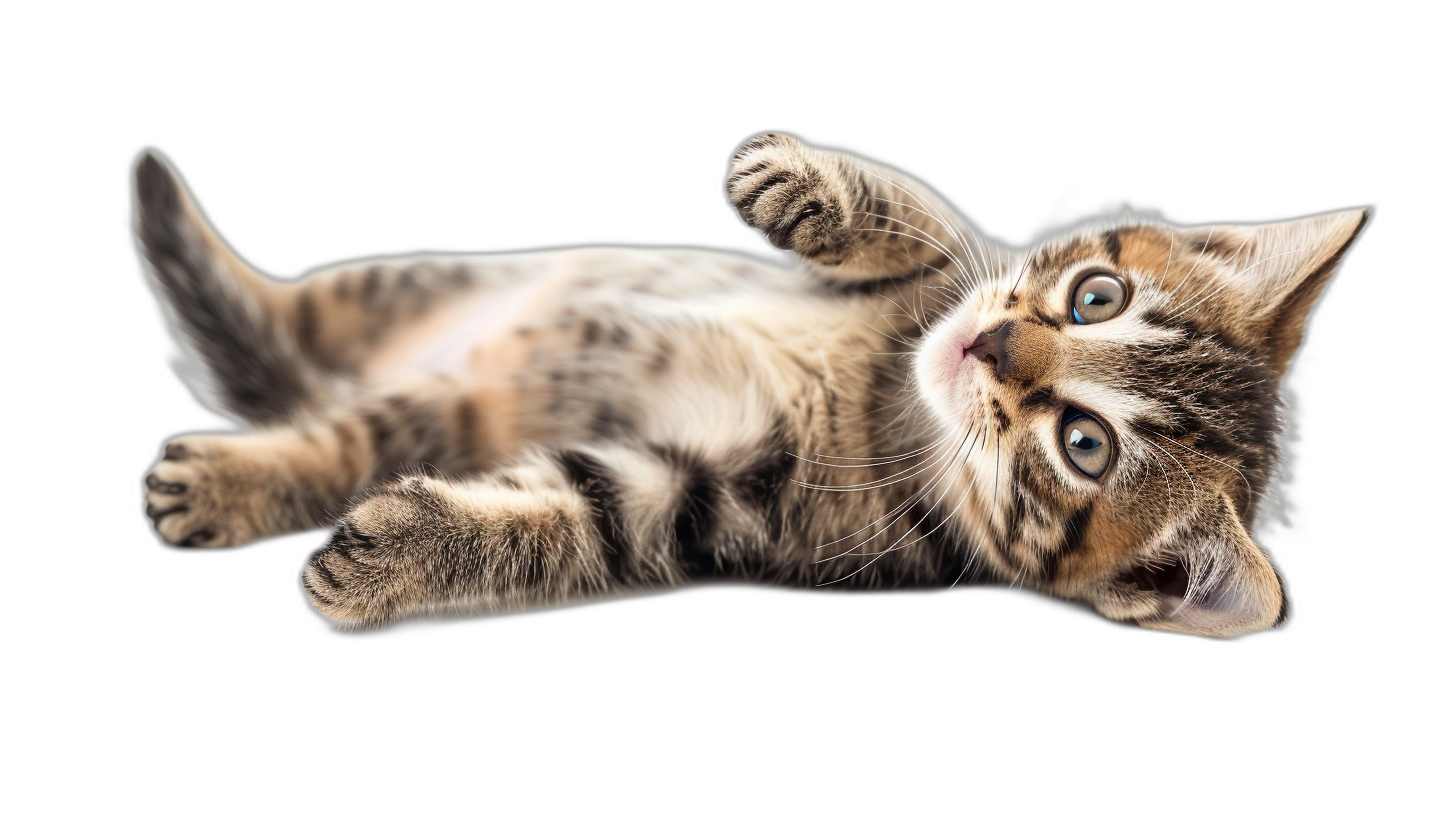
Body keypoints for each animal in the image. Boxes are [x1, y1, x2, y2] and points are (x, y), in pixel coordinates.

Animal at [133, 130, 1362, 638]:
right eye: (1095, 295)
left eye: (1085, 447)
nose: (992, 351)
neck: (890, 399)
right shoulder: (944, 282)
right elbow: (928, 219)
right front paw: (800, 182)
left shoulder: (709, 506)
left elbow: (572, 517)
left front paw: (403, 552)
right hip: (400, 286)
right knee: (298, 324)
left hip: (446, 393)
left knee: (355, 429)